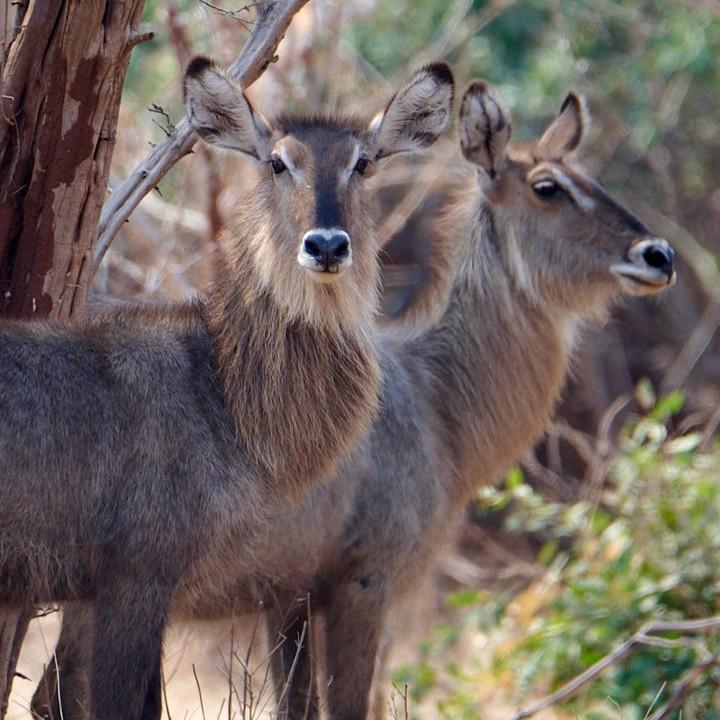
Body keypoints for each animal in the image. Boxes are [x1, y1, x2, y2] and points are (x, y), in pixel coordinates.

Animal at [0, 55, 455, 720]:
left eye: (364, 163)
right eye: (277, 162)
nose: (326, 245)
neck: (220, 389)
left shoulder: (123, 591)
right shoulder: (136, 579)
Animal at [30, 80, 676, 720]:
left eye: (592, 178)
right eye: (548, 187)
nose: (658, 255)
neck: (433, 399)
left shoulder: (288, 595)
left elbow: (297, 705)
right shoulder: (365, 581)